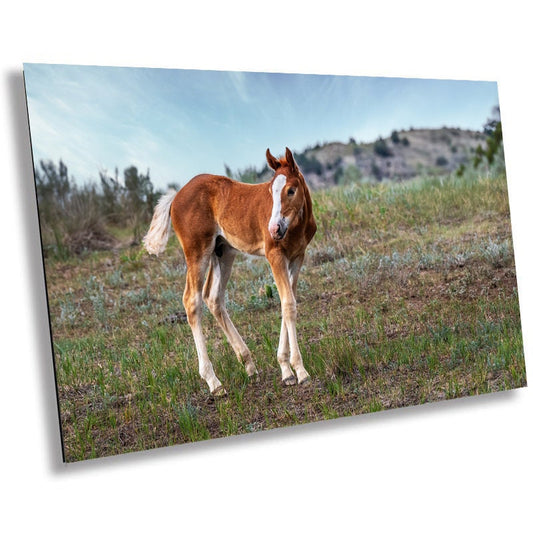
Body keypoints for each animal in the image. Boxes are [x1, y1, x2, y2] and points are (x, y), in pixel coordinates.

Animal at [142, 147, 316, 394]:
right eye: (270, 191)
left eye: (291, 190)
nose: (274, 229)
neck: (296, 226)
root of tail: (176, 197)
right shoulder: (274, 256)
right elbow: (289, 305)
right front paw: (299, 371)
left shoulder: (297, 257)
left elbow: (286, 303)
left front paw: (286, 370)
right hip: (197, 251)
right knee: (192, 300)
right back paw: (214, 382)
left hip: (223, 252)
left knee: (212, 297)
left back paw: (249, 365)